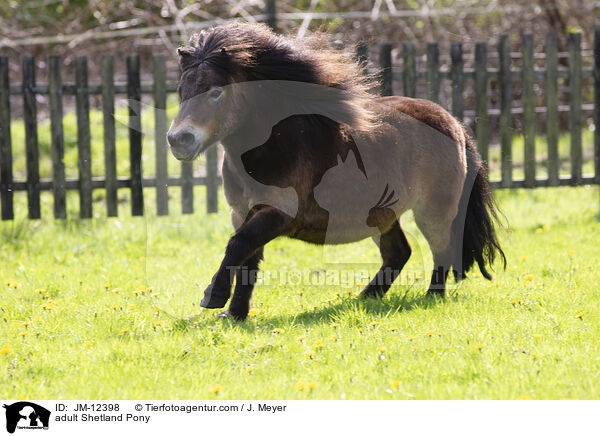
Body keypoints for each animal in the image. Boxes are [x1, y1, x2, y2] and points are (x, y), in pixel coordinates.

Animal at [166, 21, 504, 320]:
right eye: (181, 89)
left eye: (215, 92)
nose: (179, 140)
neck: (274, 145)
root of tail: (454, 122)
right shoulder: (242, 212)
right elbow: (247, 260)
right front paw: (235, 314)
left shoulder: (279, 213)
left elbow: (238, 246)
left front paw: (213, 297)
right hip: (382, 214)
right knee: (399, 252)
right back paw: (365, 298)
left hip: (433, 211)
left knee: (441, 249)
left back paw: (431, 296)